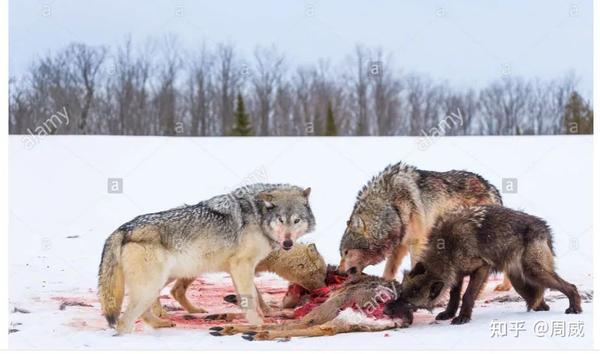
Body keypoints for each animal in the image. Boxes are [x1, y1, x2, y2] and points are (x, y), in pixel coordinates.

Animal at [98, 184, 314, 334]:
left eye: (296, 220)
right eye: (281, 220)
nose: (287, 243)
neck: (258, 216)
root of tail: (123, 228)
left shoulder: (241, 269)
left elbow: (254, 296)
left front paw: (266, 315)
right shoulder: (242, 266)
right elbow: (250, 299)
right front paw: (258, 324)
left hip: (160, 283)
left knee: (148, 310)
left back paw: (162, 323)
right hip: (152, 285)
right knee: (124, 322)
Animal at [340, 162, 508, 290]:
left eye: (347, 252)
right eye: (341, 253)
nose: (339, 272)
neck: (392, 207)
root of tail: (490, 187)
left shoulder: (417, 242)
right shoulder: (400, 245)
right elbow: (389, 269)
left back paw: (504, 287)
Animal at [384, 205, 580, 324]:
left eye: (409, 303)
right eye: (401, 293)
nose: (386, 309)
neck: (446, 249)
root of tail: (545, 228)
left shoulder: (481, 268)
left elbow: (468, 295)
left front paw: (463, 317)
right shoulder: (457, 274)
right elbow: (454, 296)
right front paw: (449, 314)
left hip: (533, 272)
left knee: (571, 286)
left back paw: (575, 308)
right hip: (520, 282)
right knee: (539, 301)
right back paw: (544, 308)